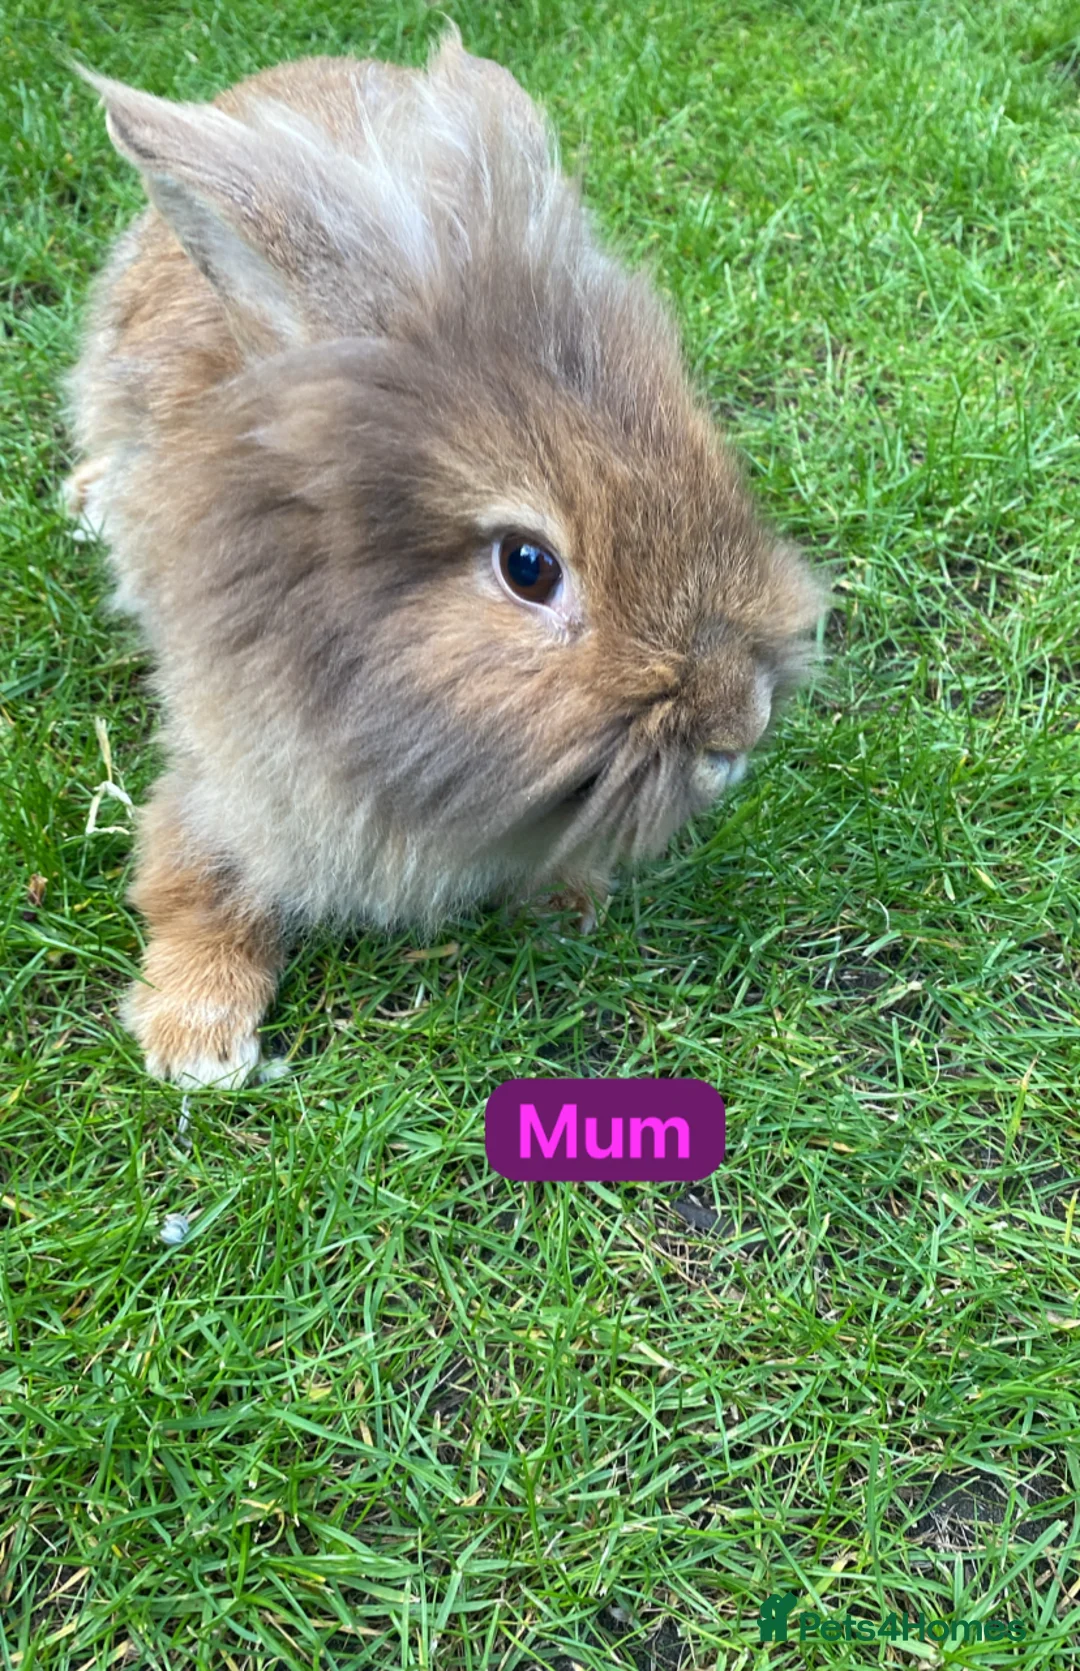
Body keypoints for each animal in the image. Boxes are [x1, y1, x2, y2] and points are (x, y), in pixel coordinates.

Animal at [65, 25, 827, 1089]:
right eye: (529, 567)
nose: (739, 727)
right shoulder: (229, 766)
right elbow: (192, 882)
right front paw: (197, 1039)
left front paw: (569, 903)